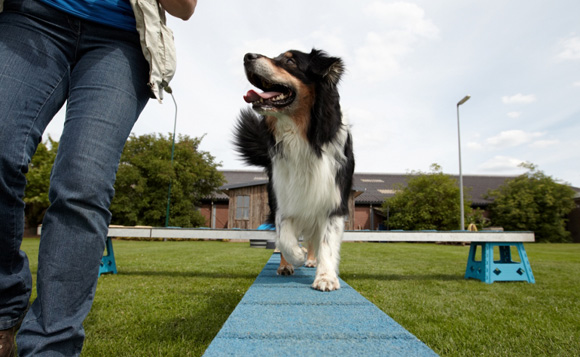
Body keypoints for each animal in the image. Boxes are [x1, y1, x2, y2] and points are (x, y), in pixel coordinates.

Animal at [234, 48, 354, 290]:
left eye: (290, 61)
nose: (247, 56)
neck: (303, 137)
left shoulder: (334, 199)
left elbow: (327, 240)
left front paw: (325, 276)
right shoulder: (283, 196)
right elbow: (284, 237)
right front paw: (296, 256)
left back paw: (311, 260)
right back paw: (287, 265)